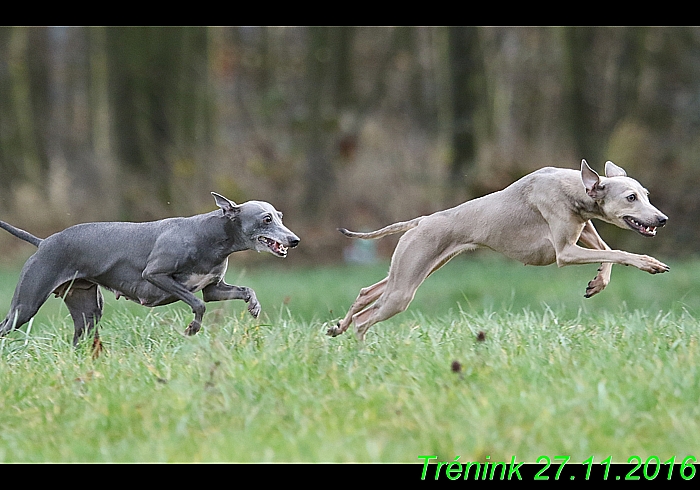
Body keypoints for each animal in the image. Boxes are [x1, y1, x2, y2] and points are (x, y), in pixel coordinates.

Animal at [0, 191, 298, 348]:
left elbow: (242, 290)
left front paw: (254, 306)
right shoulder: (156, 275)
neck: (210, 234)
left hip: (87, 310)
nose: (294, 240)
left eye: (280, 216)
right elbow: (198, 304)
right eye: (266, 219)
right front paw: (192, 328)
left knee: (79, 338)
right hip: (25, 306)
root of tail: (43, 242)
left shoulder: (214, 288)